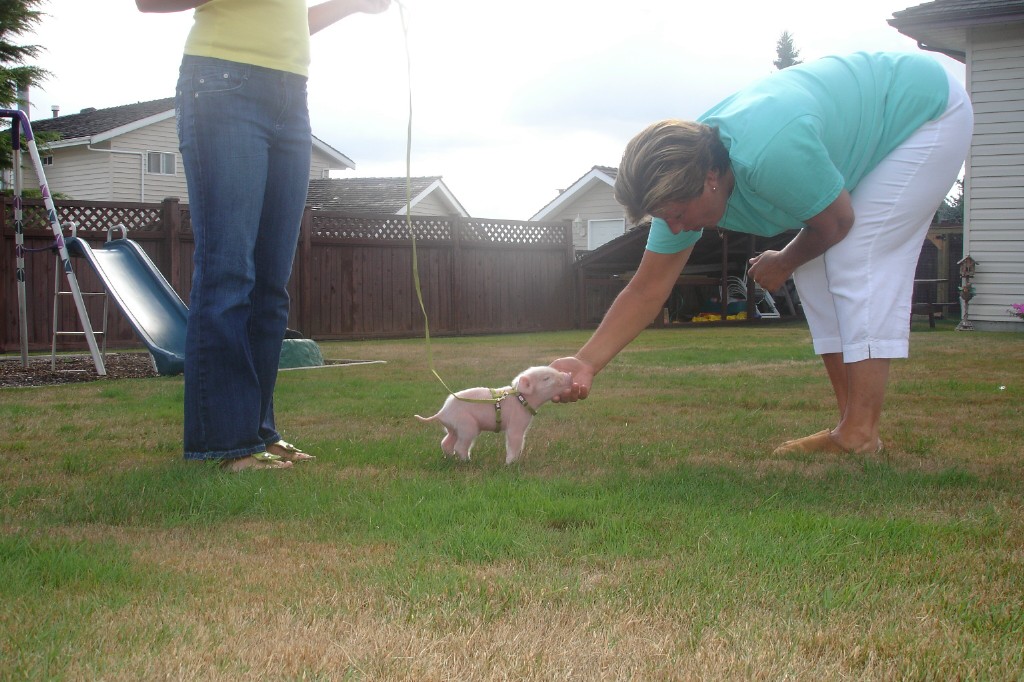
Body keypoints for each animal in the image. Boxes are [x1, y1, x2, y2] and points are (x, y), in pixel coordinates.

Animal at [415, 366, 573, 464]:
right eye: (546, 378)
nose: (569, 375)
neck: (521, 398)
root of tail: (441, 412)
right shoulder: (516, 424)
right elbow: (514, 442)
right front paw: (510, 464)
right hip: (467, 426)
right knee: (459, 446)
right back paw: (468, 461)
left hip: (454, 428)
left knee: (446, 442)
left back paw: (450, 459)